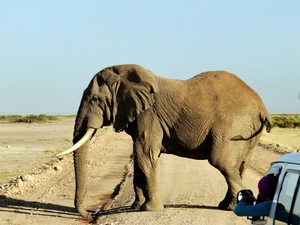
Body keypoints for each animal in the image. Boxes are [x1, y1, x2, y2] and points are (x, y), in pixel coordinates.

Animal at [57, 63, 274, 218]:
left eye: (95, 99)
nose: (89, 214)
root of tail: (262, 107)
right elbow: (139, 157)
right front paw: (136, 206)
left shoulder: (149, 115)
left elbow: (145, 154)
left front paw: (149, 209)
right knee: (238, 165)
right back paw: (227, 206)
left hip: (233, 126)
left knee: (221, 161)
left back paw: (239, 209)